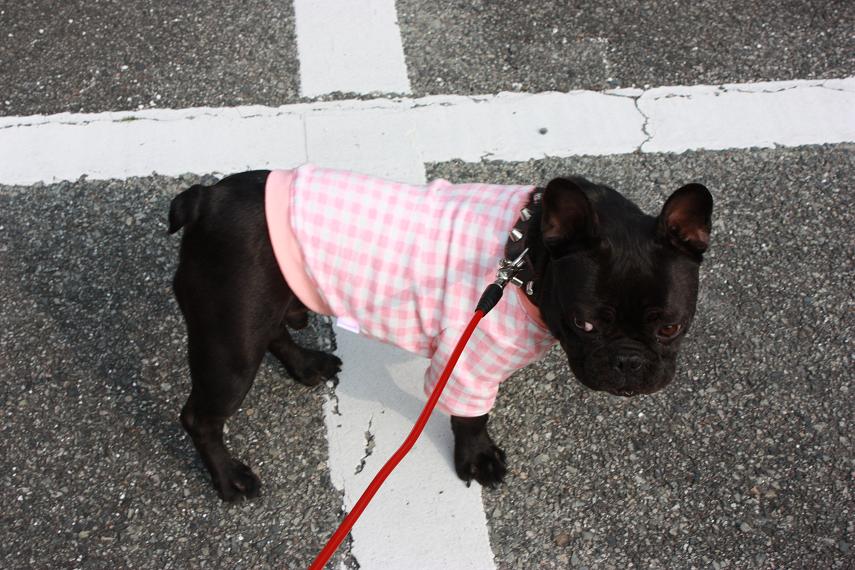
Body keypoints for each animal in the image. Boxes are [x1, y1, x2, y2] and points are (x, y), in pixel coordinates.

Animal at [168, 165, 712, 501]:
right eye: (585, 323)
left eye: (671, 326)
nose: (629, 361)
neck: (526, 257)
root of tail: (205, 199)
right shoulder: (468, 362)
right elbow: (471, 417)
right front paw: (478, 459)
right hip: (231, 343)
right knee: (200, 416)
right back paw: (229, 479)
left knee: (275, 331)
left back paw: (307, 365)